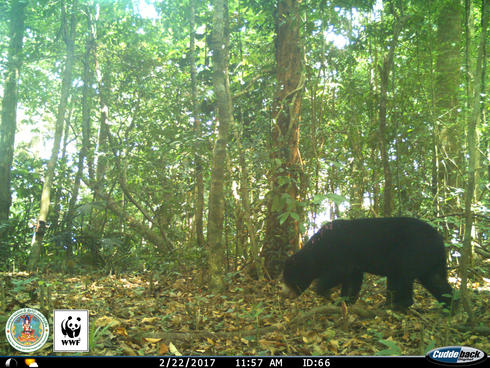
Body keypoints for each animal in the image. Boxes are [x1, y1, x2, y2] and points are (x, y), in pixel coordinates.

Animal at [282, 217, 454, 310]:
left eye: (289, 280)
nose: (287, 295)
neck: (318, 250)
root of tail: (440, 240)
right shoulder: (355, 264)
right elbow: (353, 280)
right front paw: (345, 301)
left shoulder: (340, 254)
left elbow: (339, 272)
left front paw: (322, 290)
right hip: (430, 261)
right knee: (436, 280)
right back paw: (450, 306)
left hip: (412, 252)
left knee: (404, 276)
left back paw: (399, 304)